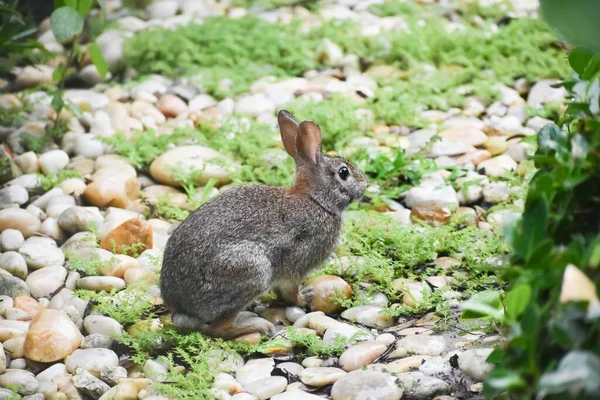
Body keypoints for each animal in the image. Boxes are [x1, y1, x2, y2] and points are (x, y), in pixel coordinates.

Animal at [159, 108, 366, 338]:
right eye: (344, 172)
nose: (365, 183)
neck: (316, 200)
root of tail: (182, 309)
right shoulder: (296, 262)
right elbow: (290, 292)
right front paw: (305, 297)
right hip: (252, 270)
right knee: (218, 329)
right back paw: (258, 327)